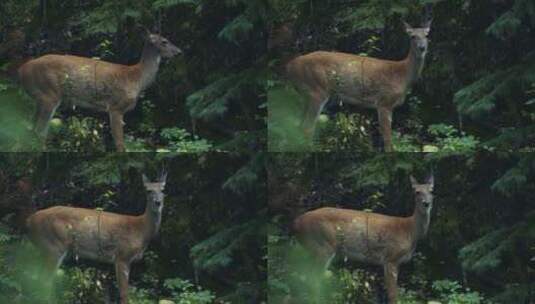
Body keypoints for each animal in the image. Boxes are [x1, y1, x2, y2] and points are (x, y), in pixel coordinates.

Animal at [14, 30, 182, 152]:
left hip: (39, 98)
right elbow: (120, 144)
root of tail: (21, 70)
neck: (137, 78)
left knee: (28, 128)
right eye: (164, 41)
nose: (179, 52)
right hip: (49, 94)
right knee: (40, 131)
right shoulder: (115, 106)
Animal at [25, 171, 166, 304]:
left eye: (163, 189)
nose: (158, 202)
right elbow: (124, 293)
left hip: (45, 249)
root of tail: (29, 221)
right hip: (53, 246)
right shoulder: (122, 256)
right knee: (44, 282)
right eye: (148, 190)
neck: (141, 229)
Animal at [286, 7, 434, 152]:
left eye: (427, 35)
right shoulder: (383, 101)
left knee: (296, 126)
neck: (402, 75)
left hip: (306, 94)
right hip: (317, 89)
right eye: (412, 36)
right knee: (307, 128)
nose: (422, 48)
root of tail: (290, 66)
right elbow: (387, 138)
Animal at [294, 173, 436, 304]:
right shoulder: (390, 258)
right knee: (313, 280)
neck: (410, 230)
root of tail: (297, 223)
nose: (426, 203)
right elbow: (393, 295)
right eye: (417, 192)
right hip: (323, 246)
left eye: (431, 191)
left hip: (314, 249)